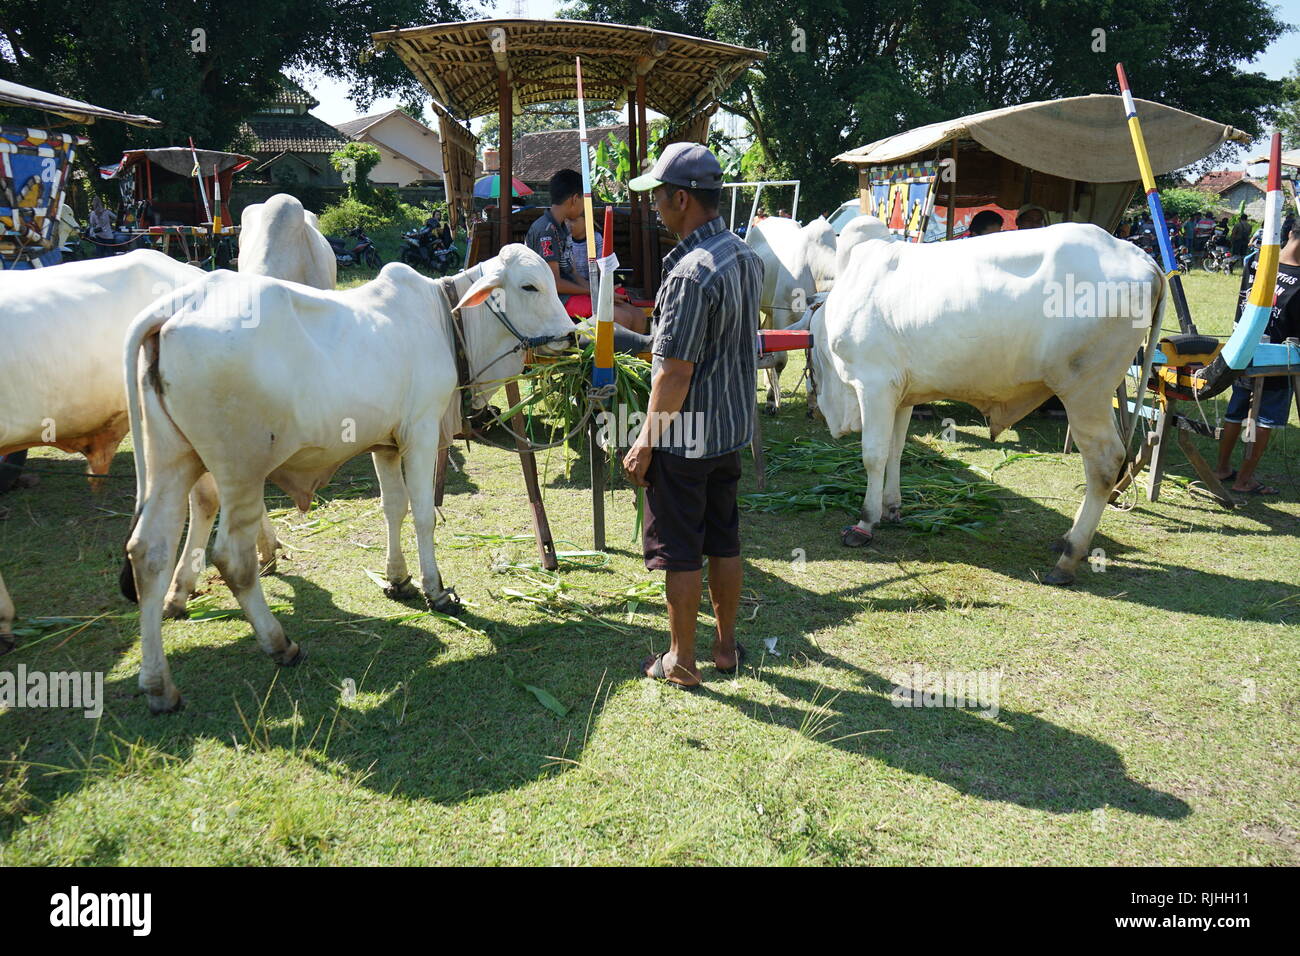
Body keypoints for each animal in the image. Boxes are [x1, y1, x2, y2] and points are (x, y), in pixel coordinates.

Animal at [124, 244, 577, 712]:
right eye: (529, 286)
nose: (572, 336)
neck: (446, 319)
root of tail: (177, 306)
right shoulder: (420, 431)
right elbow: (422, 515)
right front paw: (435, 590)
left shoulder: (385, 443)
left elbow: (393, 508)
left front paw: (398, 580)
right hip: (241, 470)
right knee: (232, 556)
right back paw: (279, 643)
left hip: (172, 461)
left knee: (149, 553)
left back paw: (159, 685)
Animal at [811, 223, 1170, 582]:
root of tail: (1141, 258)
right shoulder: (901, 394)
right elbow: (896, 451)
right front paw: (891, 507)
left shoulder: (874, 384)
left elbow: (874, 455)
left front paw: (865, 521)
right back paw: (1066, 540)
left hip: (1085, 392)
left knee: (1105, 462)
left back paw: (1068, 557)